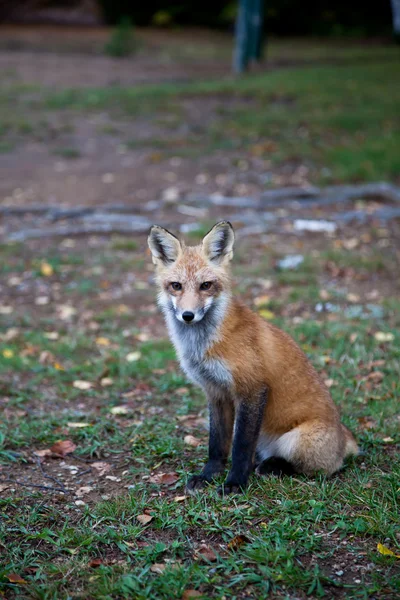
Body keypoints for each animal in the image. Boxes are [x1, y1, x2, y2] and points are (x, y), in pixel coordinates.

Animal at [148, 220, 360, 492]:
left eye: (206, 285)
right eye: (176, 286)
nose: (187, 315)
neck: (203, 345)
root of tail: (345, 436)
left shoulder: (252, 389)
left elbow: (240, 446)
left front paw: (235, 483)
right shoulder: (215, 392)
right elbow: (217, 443)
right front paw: (209, 475)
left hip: (297, 440)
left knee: (318, 468)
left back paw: (272, 467)